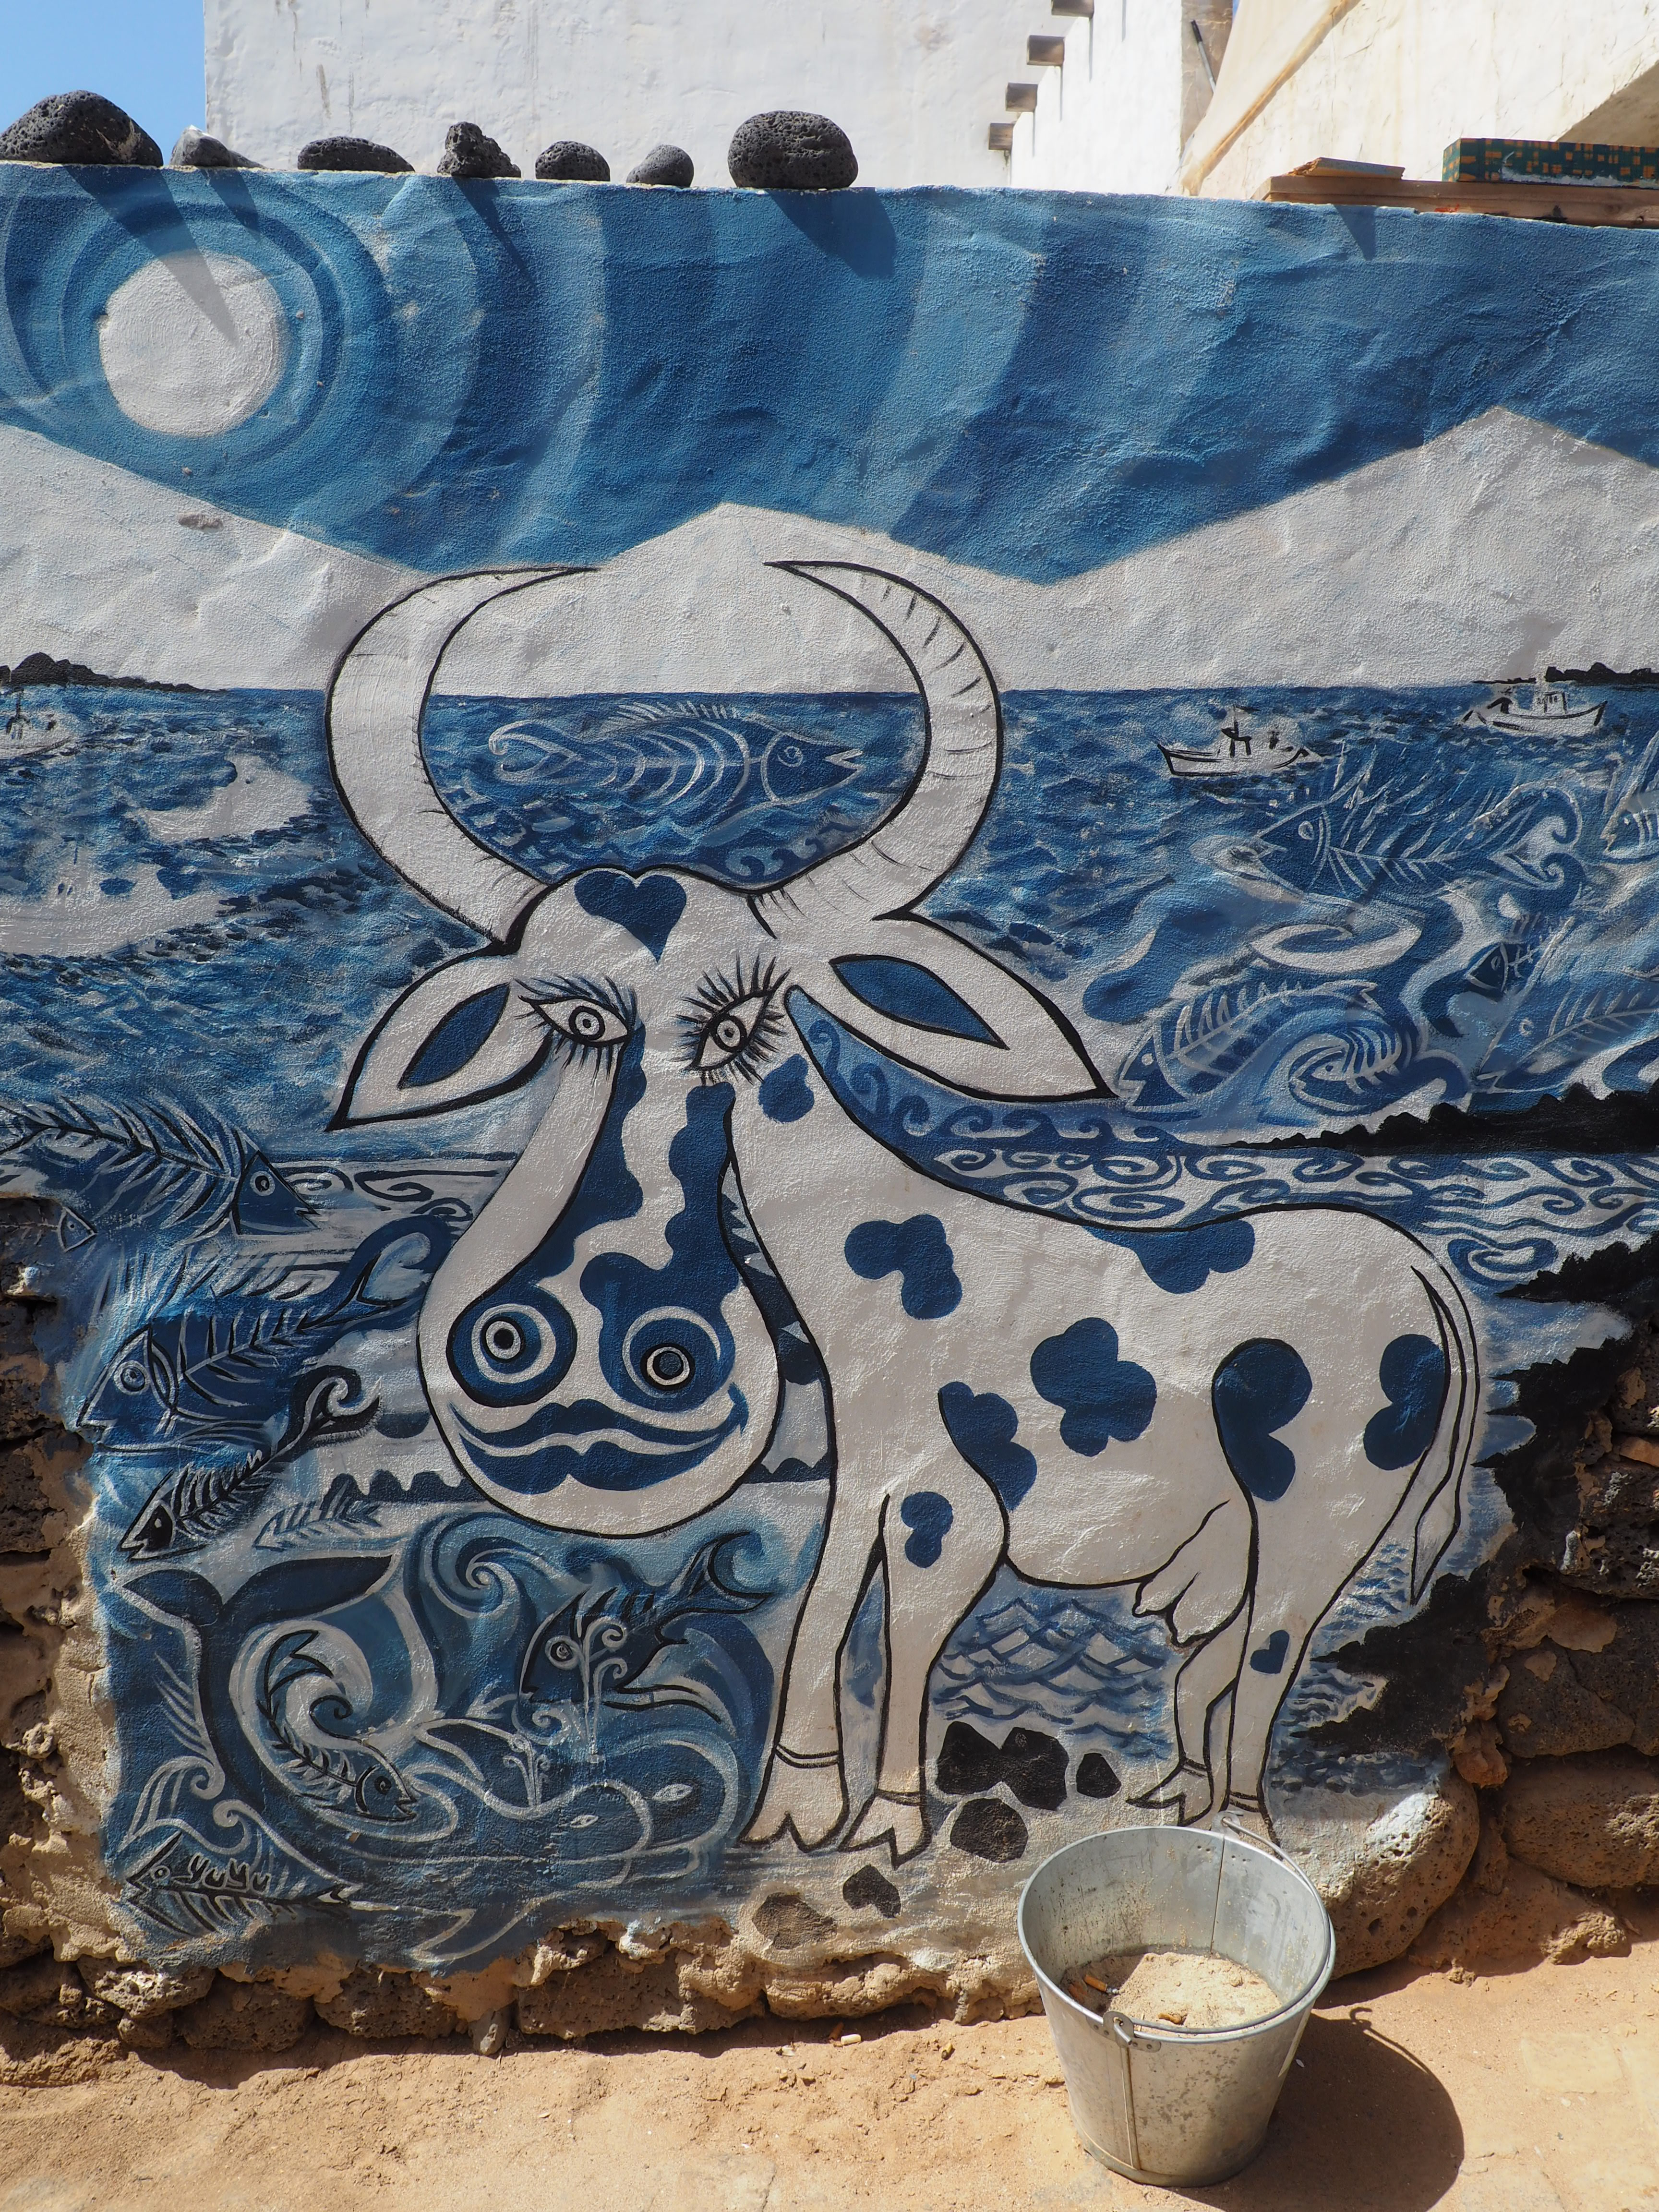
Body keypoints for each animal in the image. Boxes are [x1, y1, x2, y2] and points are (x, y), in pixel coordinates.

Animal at [325, 560, 1478, 1864]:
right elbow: (824, 1611)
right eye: (573, 1019)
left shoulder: (946, 1504)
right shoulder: (866, 1471)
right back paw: (1175, 1800)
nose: (597, 1341)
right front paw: (793, 1806)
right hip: (1234, 1541)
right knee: (1208, 1666)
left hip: (1321, 1511)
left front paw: (886, 1820)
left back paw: (1239, 1825)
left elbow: (909, 1640)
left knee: (1274, 1657)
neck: (883, 1257)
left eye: (735, 1022)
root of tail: (1423, 1276)